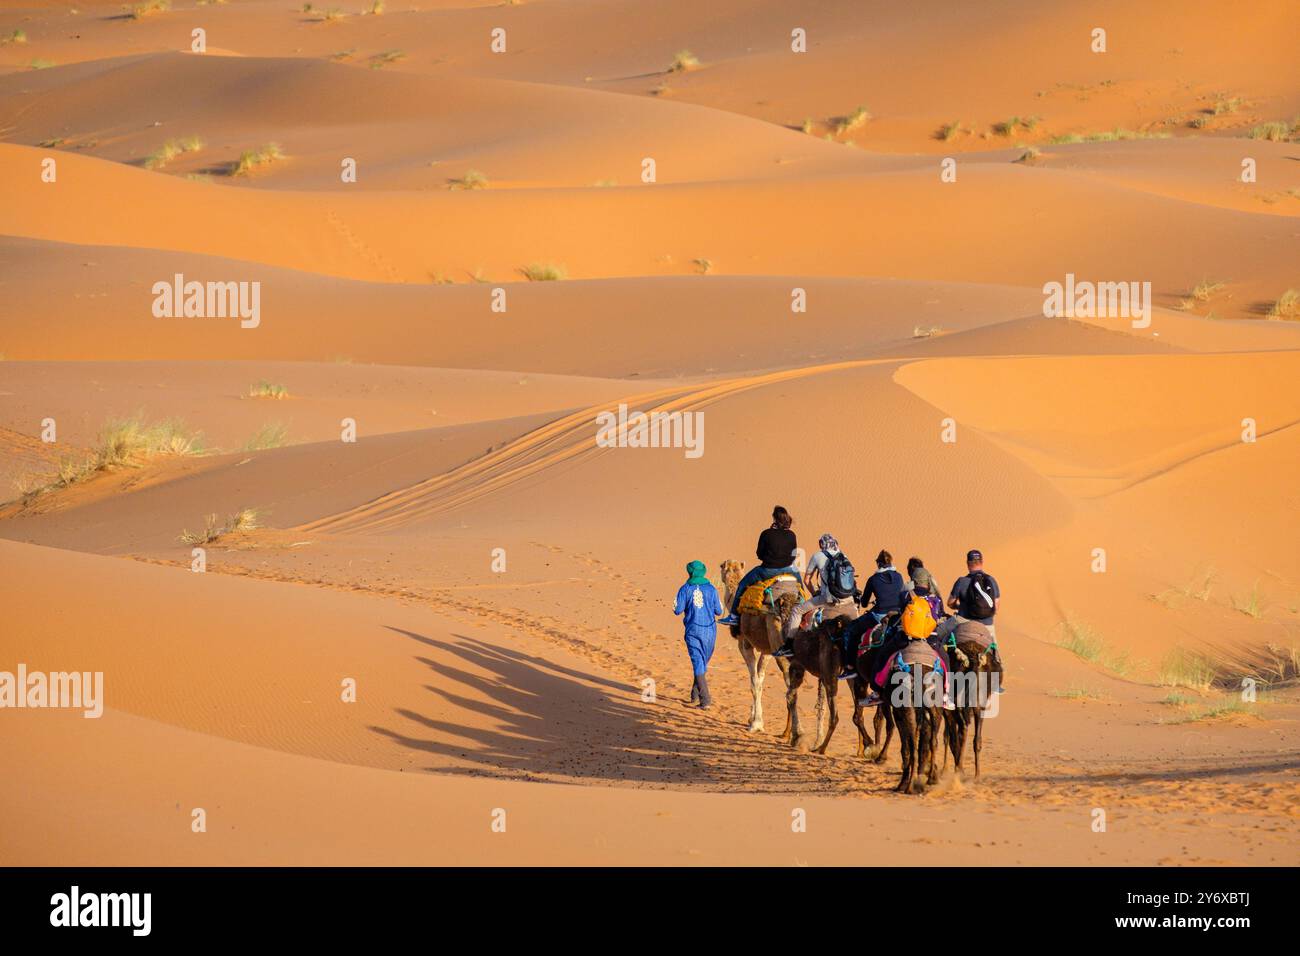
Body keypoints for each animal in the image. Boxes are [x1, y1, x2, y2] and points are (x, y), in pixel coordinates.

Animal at [722, 556, 800, 743]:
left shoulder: (745, 644)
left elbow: (754, 682)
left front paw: (756, 724)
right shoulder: (766, 651)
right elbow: (761, 679)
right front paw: (752, 718)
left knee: (791, 688)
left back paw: (793, 735)